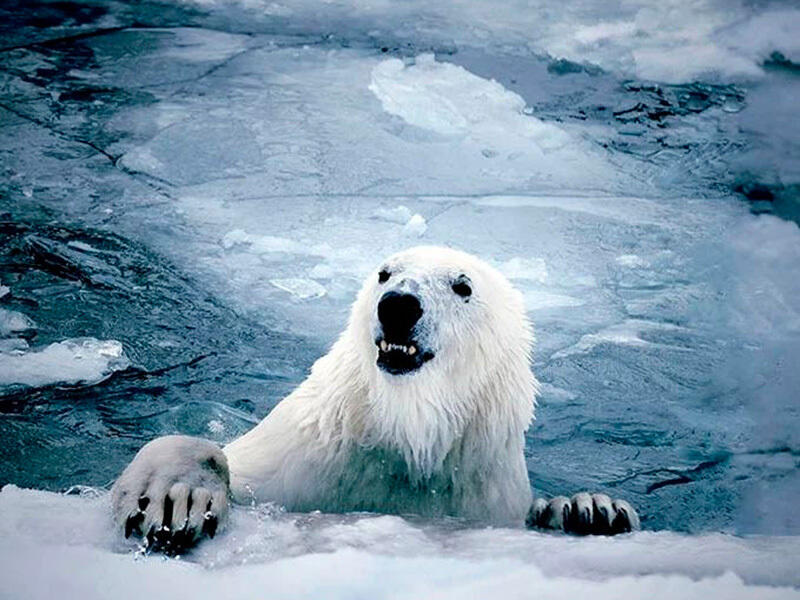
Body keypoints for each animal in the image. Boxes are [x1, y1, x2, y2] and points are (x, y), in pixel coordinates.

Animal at [111, 246, 636, 552]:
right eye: (385, 274)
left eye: (462, 286)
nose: (399, 305)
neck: (405, 432)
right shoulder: (306, 456)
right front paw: (175, 497)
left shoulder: (482, 494)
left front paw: (590, 511)